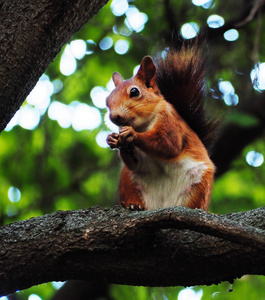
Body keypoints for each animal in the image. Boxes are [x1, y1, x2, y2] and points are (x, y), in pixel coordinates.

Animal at [105, 44, 214, 211]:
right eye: (107, 100)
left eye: (134, 91)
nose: (114, 116)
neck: (143, 125)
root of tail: (163, 204)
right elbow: (135, 163)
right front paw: (113, 140)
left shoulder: (170, 122)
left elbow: (168, 144)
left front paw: (132, 135)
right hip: (129, 182)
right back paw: (133, 204)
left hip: (199, 186)